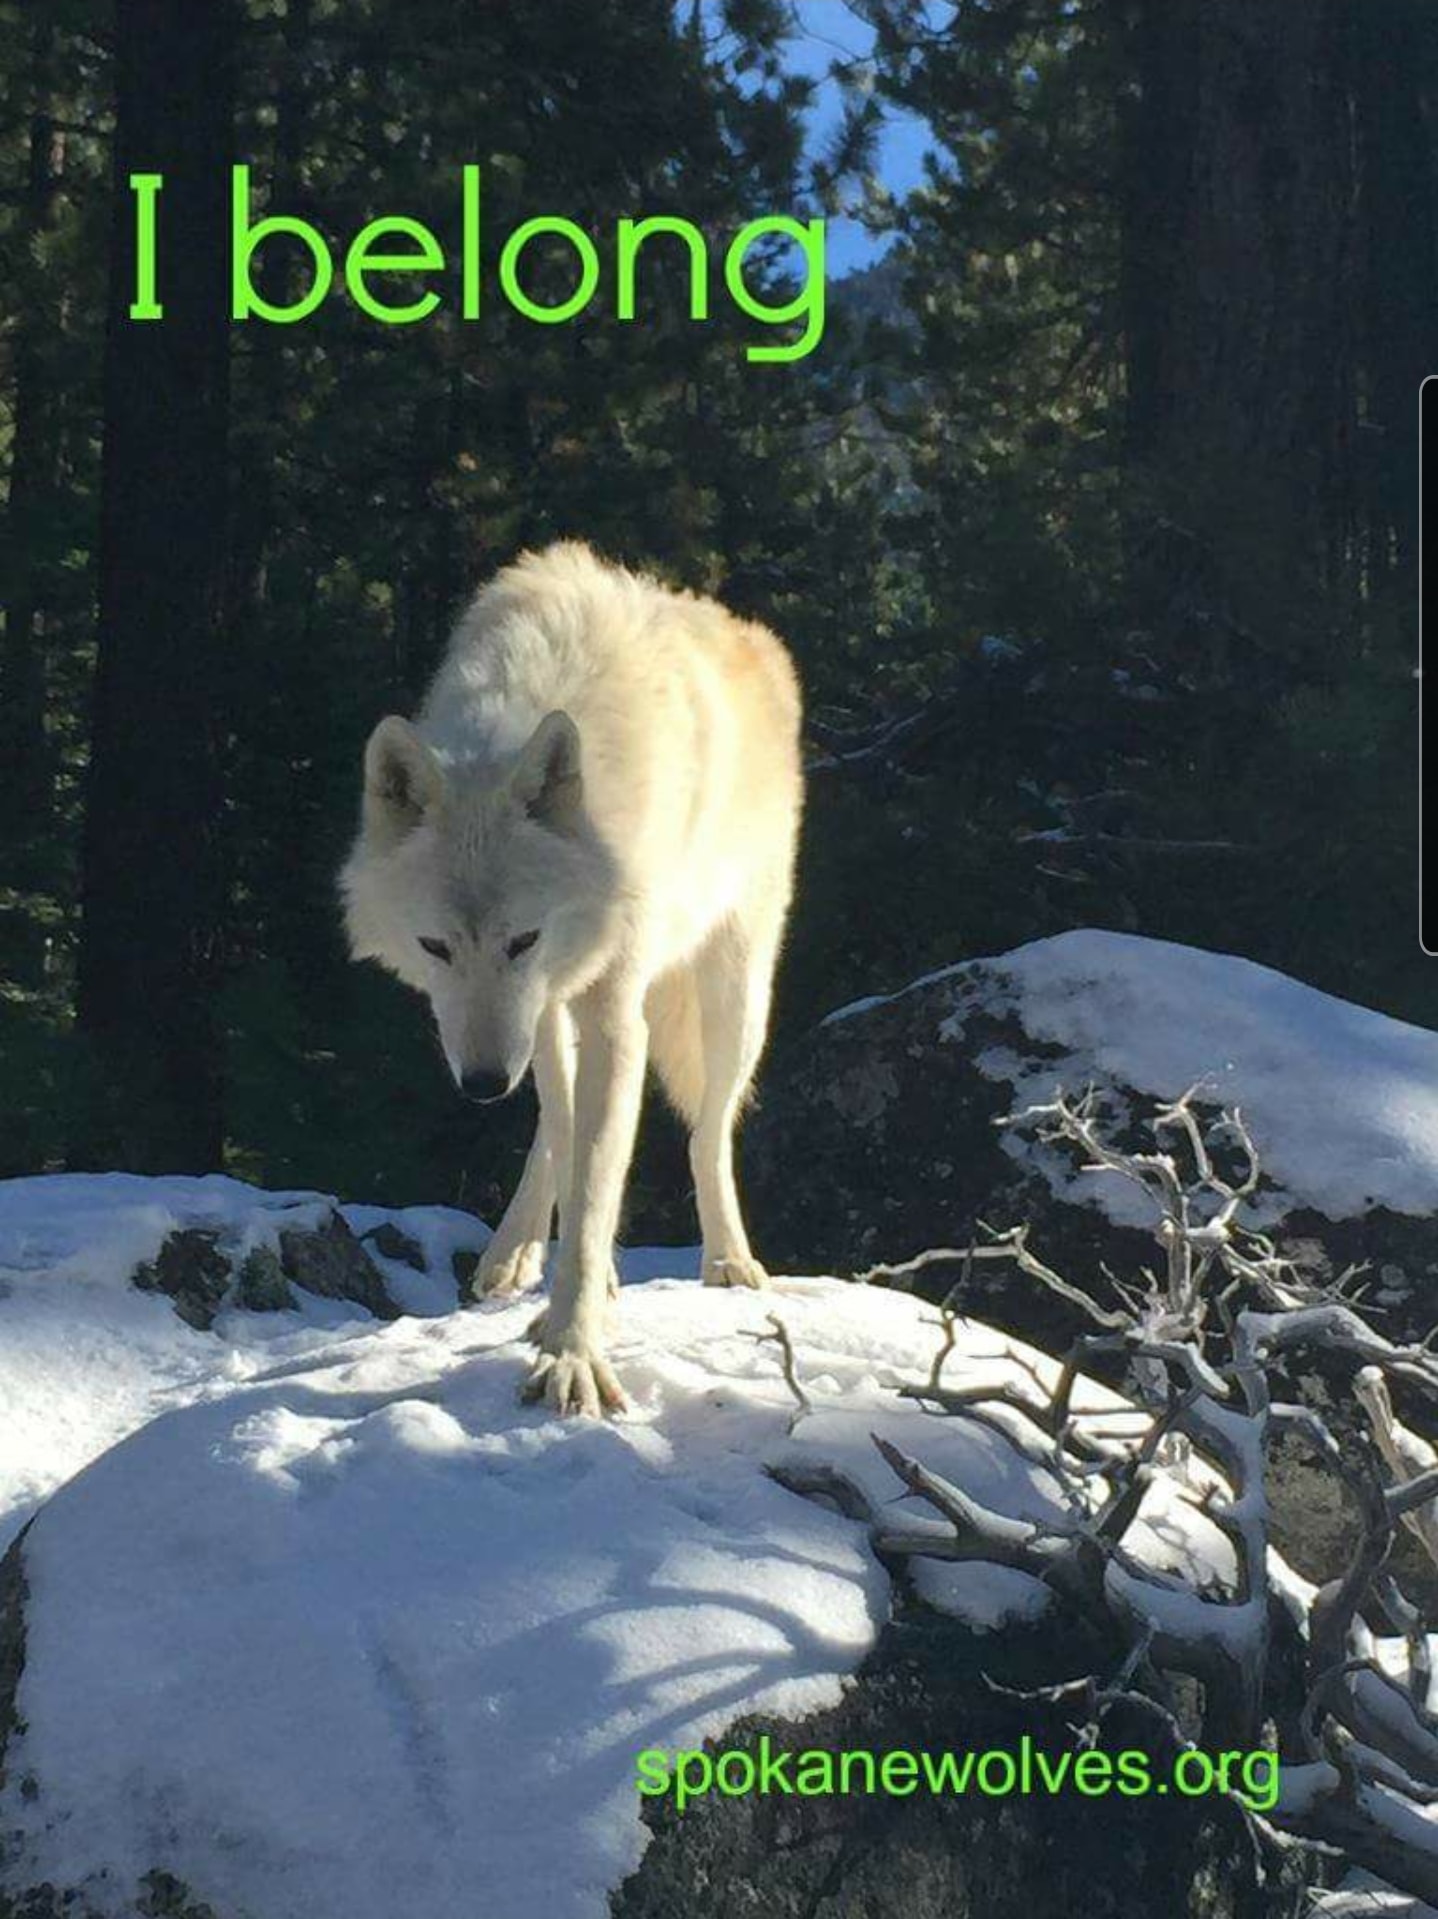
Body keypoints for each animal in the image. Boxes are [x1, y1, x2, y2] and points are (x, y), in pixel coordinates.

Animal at [340, 542, 803, 1415]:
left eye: (522, 938)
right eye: (435, 946)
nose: (482, 1084)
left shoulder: (609, 1009)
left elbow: (597, 1183)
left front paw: (573, 1354)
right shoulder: (548, 1007)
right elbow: (568, 1144)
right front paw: (571, 1303)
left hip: (737, 997)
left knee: (709, 1132)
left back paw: (729, 1259)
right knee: (554, 1130)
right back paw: (513, 1253)